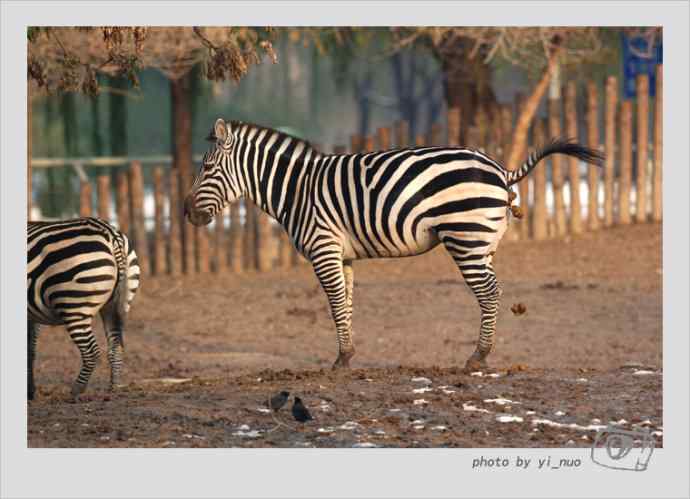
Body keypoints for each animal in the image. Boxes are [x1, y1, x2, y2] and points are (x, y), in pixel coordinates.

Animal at [27, 217, 140, 400]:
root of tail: (111, 234)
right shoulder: (33, 315)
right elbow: (30, 350)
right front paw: (30, 391)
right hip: (114, 305)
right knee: (116, 346)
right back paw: (114, 389)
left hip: (74, 306)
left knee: (91, 351)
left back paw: (76, 390)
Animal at [184, 120, 600, 372]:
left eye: (206, 168)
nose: (187, 212)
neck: (297, 188)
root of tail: (500, 169)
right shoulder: (342, 255)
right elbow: (346, 303)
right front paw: (346, 355)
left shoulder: (323, 247)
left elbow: (335, 303)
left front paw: (341, 359)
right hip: (484, 242)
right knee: (493, 292)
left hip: (465, 237)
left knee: (489, 294)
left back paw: (477, 358)